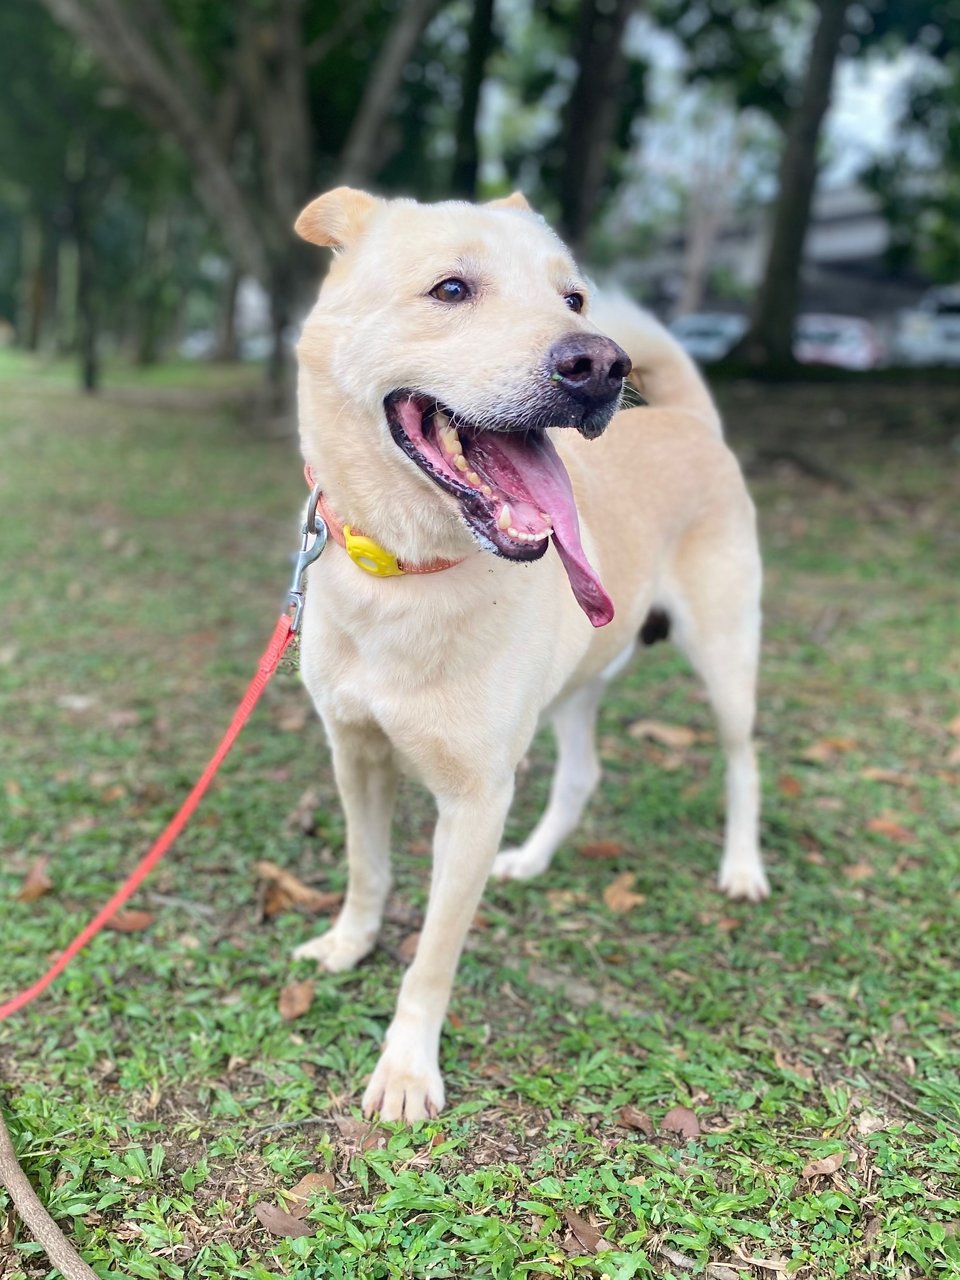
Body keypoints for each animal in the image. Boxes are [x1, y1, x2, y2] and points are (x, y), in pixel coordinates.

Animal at [289, 189, 762, 1121]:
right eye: (450, 288)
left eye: (572, 298)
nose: (601, 362)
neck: (406, 577)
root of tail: (686, 420)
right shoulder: (355, 752)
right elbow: (366, 869)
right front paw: (348, 944)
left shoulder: (475, 800)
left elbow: (432, 957)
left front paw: (407, 1067)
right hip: (577, 682)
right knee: (582, 774)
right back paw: (536, 858)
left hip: (727, 657)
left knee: (742, 759)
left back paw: (742, 866)